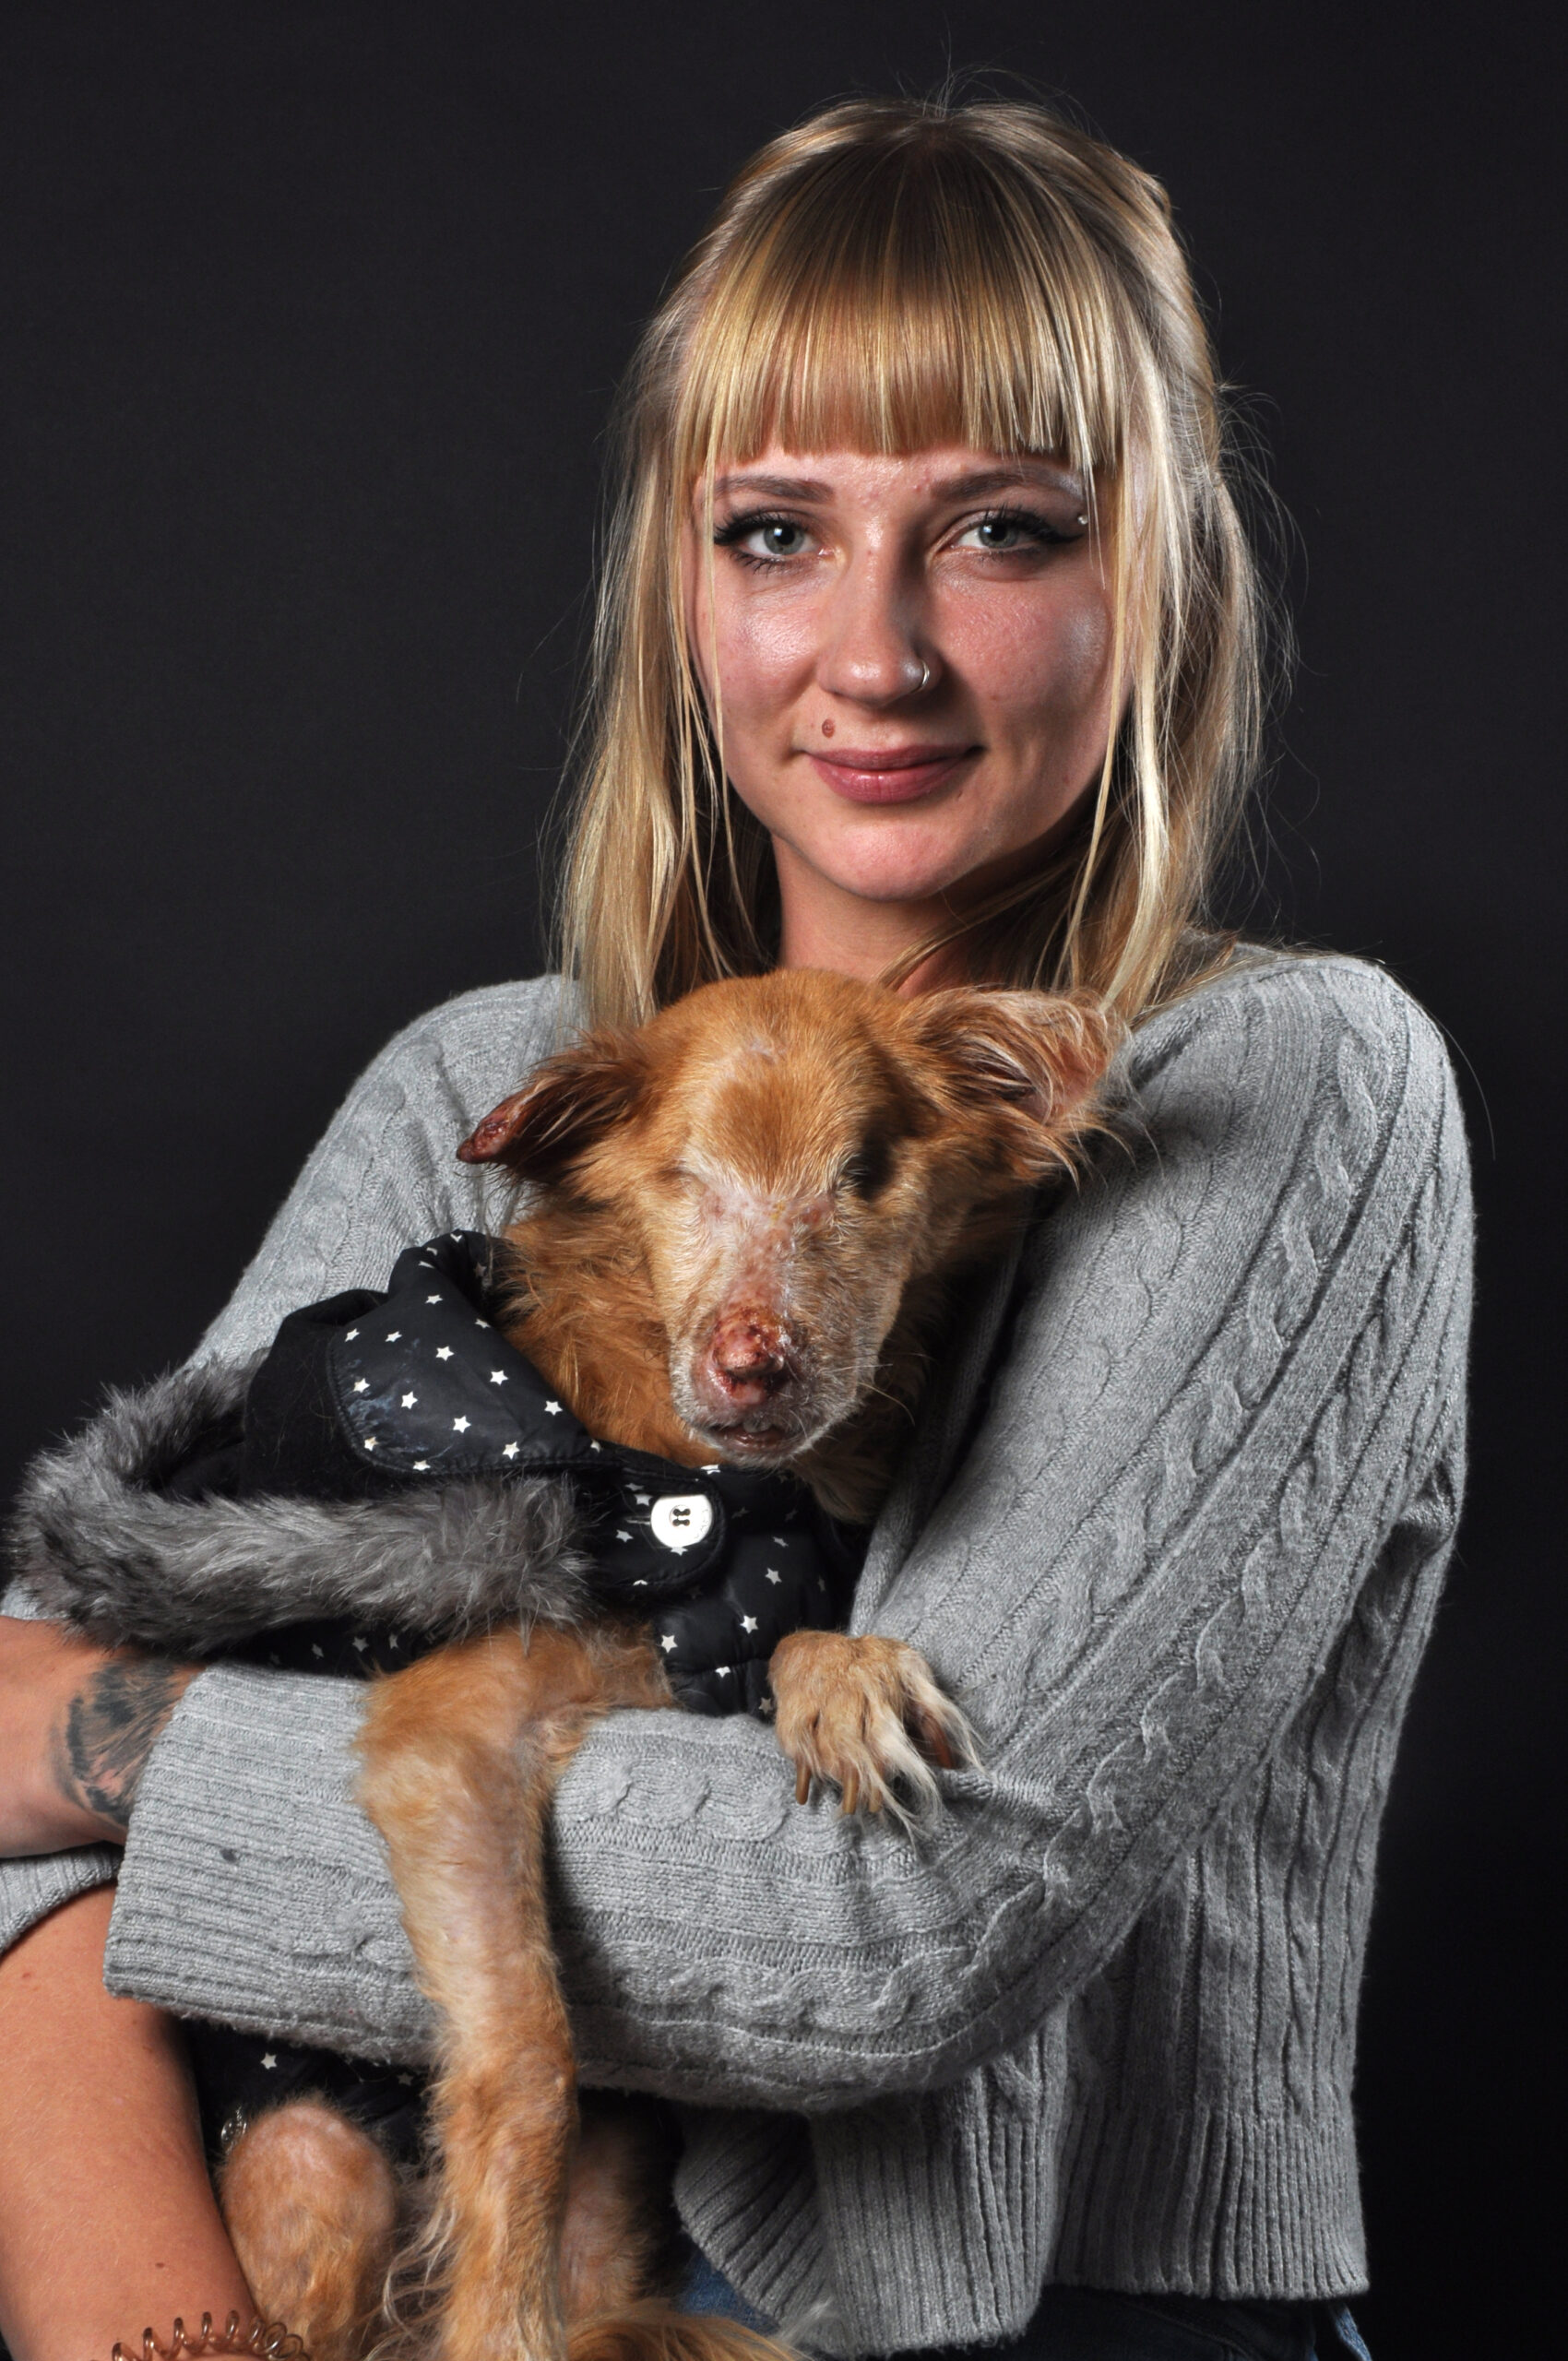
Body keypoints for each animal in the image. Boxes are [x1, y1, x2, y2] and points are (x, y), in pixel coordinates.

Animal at [21, 969, 1116, 2361]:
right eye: (681, 1177)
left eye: (864, 1177)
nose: (753, 1365)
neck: (698, 1486)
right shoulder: (448, 1742)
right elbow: (526, 2060)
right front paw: (498, 2324)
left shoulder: (712, 1632)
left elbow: (784, 1638)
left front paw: (845, 1676)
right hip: (316, 2163)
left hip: (614, 2200)